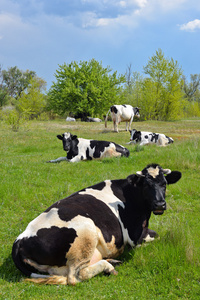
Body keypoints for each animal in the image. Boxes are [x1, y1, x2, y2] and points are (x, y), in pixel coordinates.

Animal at [11, 164, 182, 284]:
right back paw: (108, 267)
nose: (160, 204)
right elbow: (157, 235)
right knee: (75, 275)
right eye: (146, 185)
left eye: (164, 184)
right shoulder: (134, 236)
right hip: (86, 231)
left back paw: (111, 261)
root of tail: (20, 239)